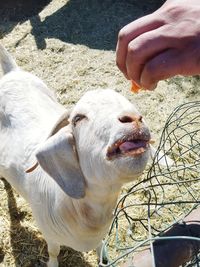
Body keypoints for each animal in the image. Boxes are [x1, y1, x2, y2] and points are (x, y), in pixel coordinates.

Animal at [0, 45, 155, 266]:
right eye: (78, 119)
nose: (133, 118)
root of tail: (12, 72)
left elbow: (100, 244)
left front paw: (103, 256)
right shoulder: (49, 233)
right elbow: (54, 251)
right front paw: (52, 264)